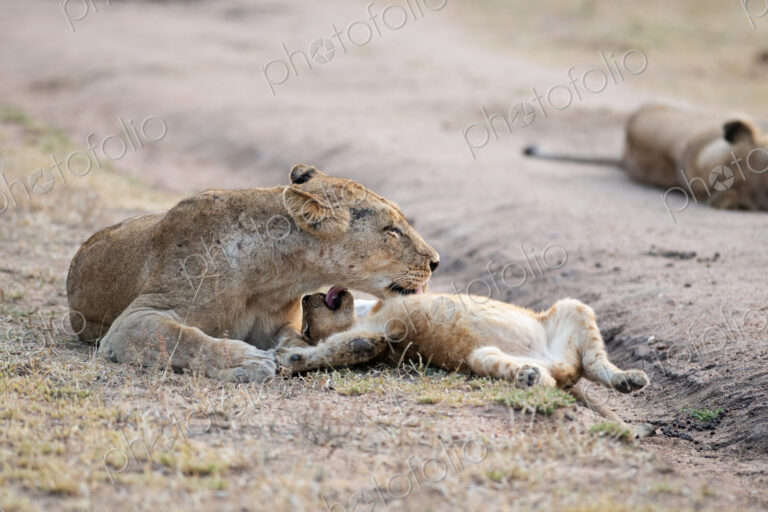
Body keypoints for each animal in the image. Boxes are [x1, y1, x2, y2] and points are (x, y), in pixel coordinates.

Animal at [66, 164, 440, 382]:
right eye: (392, 230)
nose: (436, 261)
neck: (276, 276)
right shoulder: (133, 321)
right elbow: (184, 339)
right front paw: (246, 360)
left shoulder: (279, 324)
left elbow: (297, 341)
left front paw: (299, 355)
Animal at [277, 288, 652, 431]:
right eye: (307, 328)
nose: (307, 296)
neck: (363, 314)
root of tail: (561, 371)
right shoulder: (378, 336)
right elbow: (347, 347)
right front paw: (292, 358)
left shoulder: (379, 322)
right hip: (480, 356)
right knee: (554, 376)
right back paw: (531, 376)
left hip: (573, 308)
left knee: (596, 363)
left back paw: (629, 379)